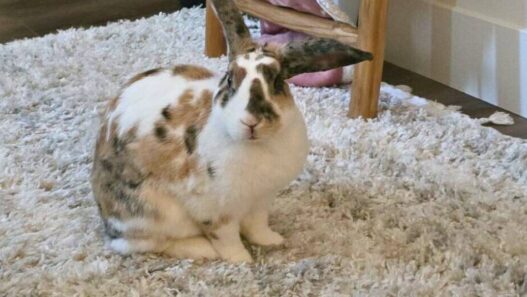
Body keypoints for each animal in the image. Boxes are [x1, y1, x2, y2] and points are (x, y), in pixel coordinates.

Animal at [89, 0, 372, 262]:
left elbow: (257, 226)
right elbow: (227, 239)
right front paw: (242, 260)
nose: (251, 122)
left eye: (277, 82)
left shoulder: (260, 202)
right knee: (146, 244)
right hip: (153, 216)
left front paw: (272, 241)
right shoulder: (216, 212)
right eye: (229, 80)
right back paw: (203, 249)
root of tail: (106, 218)